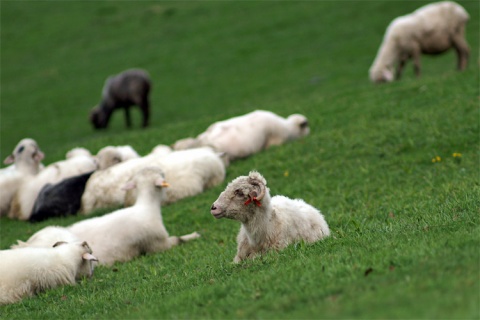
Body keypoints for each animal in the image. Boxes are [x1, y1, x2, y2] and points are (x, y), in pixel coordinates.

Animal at [13, 166, 201, 266]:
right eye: (162, 176)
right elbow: (178, 239)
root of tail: (25, 245)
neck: (146, 206)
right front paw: (194, 235)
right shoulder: (157, 244)